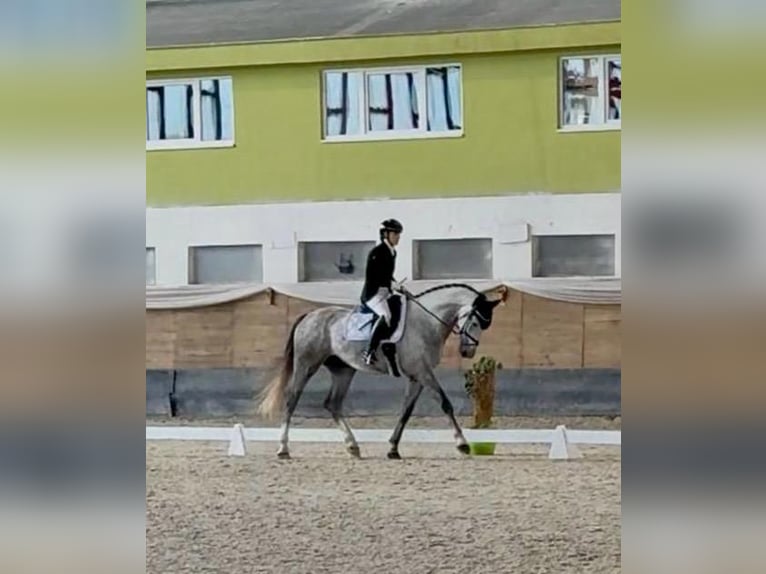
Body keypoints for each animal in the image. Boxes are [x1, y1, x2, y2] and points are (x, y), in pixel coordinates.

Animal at [257, 282, 507, 459]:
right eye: (475, 322)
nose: (467, 352)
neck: (425, 321)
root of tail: (309, 316)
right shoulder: (423, 372)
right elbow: (445, 403)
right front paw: (462, 444)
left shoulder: (417, 376)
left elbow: (406, 411)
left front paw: (393, 449)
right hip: (307, 364)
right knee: (292, 399)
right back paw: (283, 449)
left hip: (343, 371)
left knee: (333, 404)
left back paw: (353, 447)